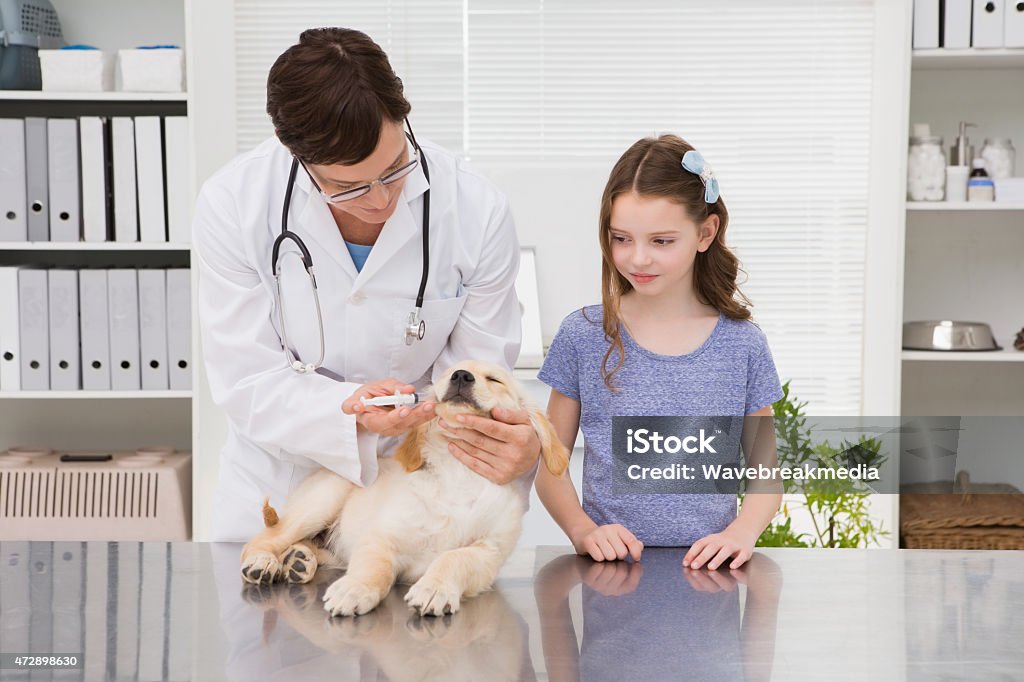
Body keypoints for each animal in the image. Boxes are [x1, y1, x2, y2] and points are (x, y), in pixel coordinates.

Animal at [239, 360, 569, 614]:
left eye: (495, 379)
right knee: (266, 537)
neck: (458, 474)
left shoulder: (488, 553)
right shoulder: (381, 537)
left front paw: (434, 589)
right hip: (323, 499)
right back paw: (263, 561)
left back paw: (298, 560)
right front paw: (355, 589)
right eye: (448, 373)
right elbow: (375, 568)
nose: (461, 376)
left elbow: (453, 558)